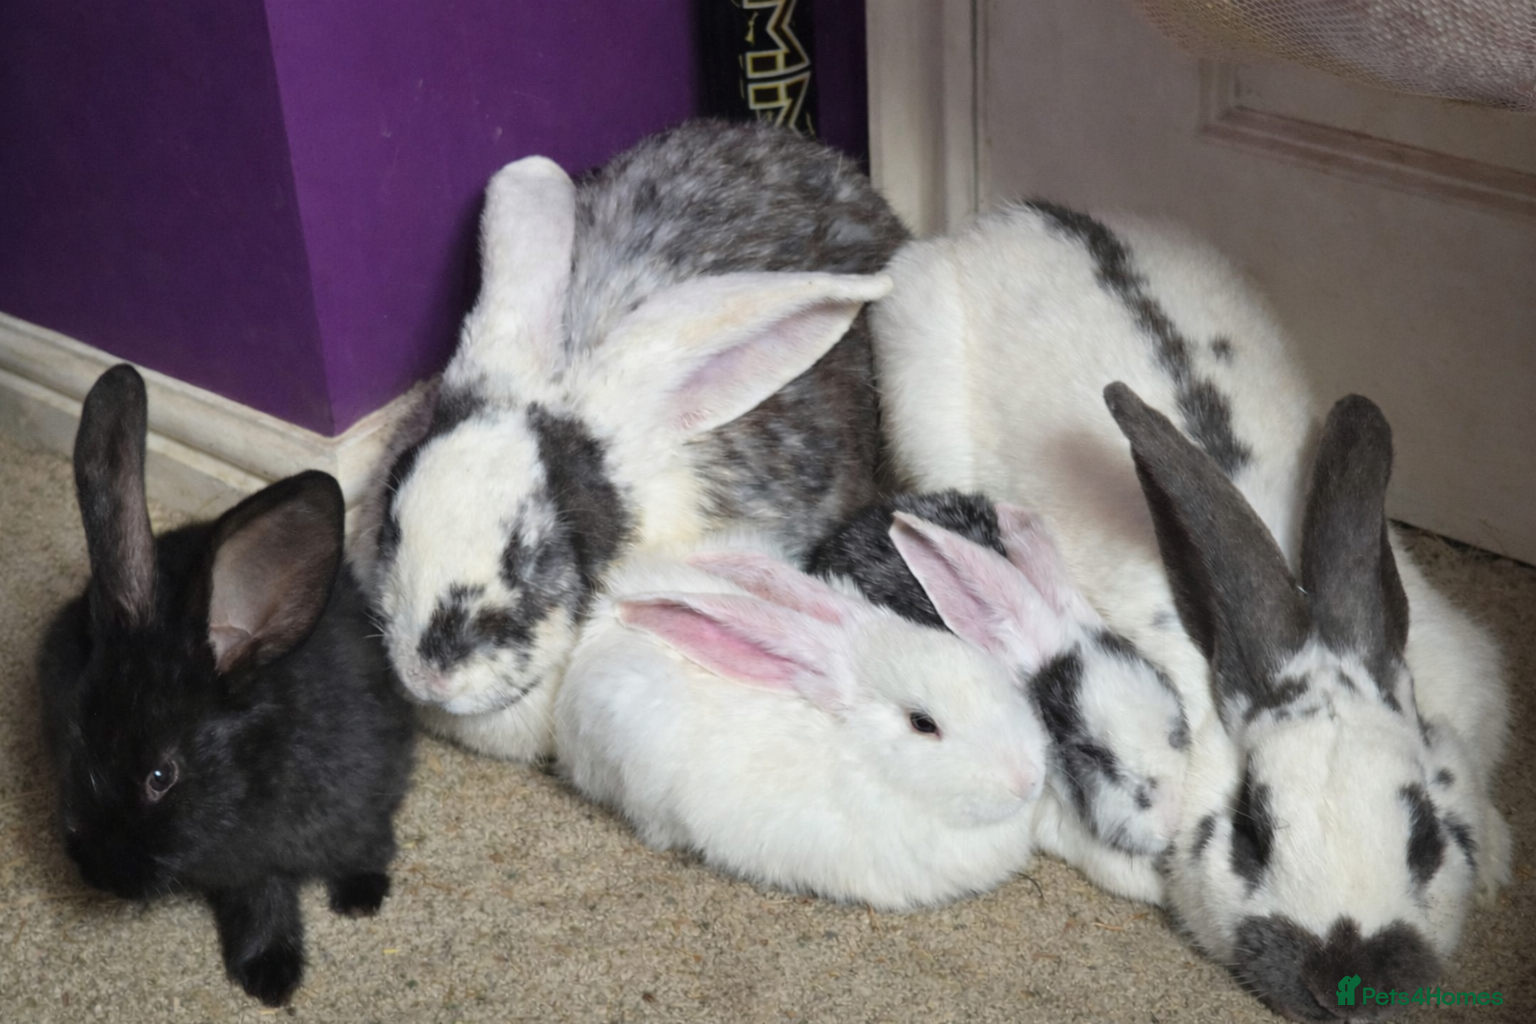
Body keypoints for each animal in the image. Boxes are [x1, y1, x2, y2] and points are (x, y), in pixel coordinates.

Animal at [37, 365, 417, 1007]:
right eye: (75, 741)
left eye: (161, 776)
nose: (98, 872)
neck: (260, 764)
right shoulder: (252, 872)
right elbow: (262, 906)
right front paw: (271, 977)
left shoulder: (366, 805)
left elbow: (368, 845)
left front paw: (362, 897)